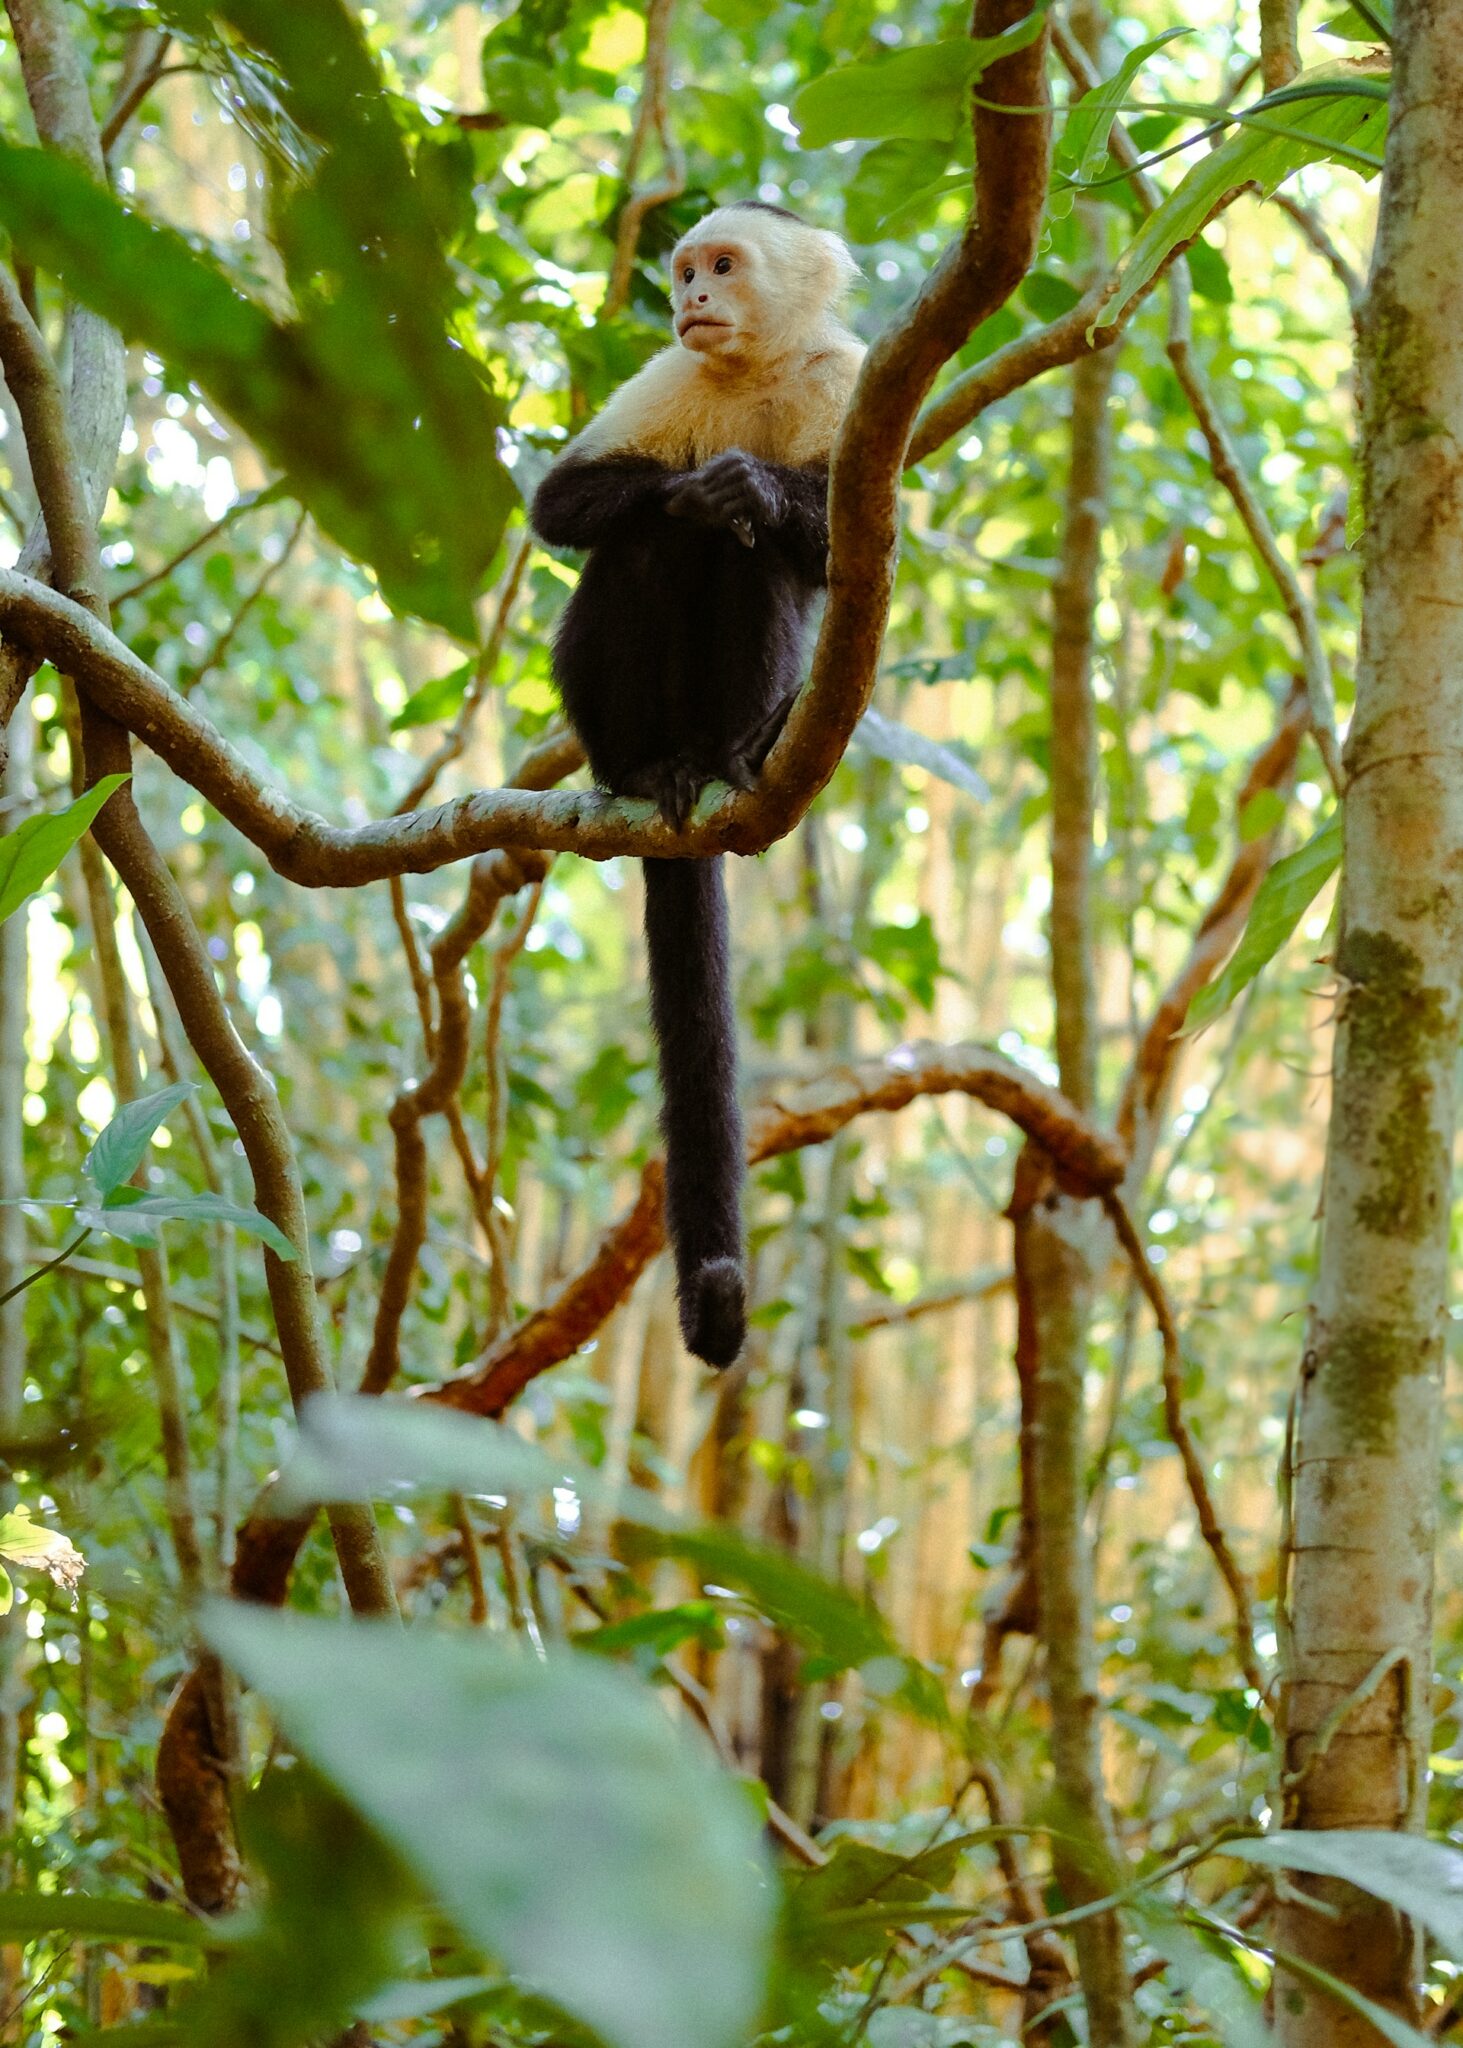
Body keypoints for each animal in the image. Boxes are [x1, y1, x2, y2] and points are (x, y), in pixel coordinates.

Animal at [528, 203, 860, 1359]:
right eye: (682, 273)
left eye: (724, 265)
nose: (695, 297)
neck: (750, 366)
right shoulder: (666, 372)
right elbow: (563, 503)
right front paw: (695, 487)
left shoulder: (848, 380)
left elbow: (840, 539)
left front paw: (751, 488)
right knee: (638, 545)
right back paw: (646, 763)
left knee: (755, 566)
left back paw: (731, 753)